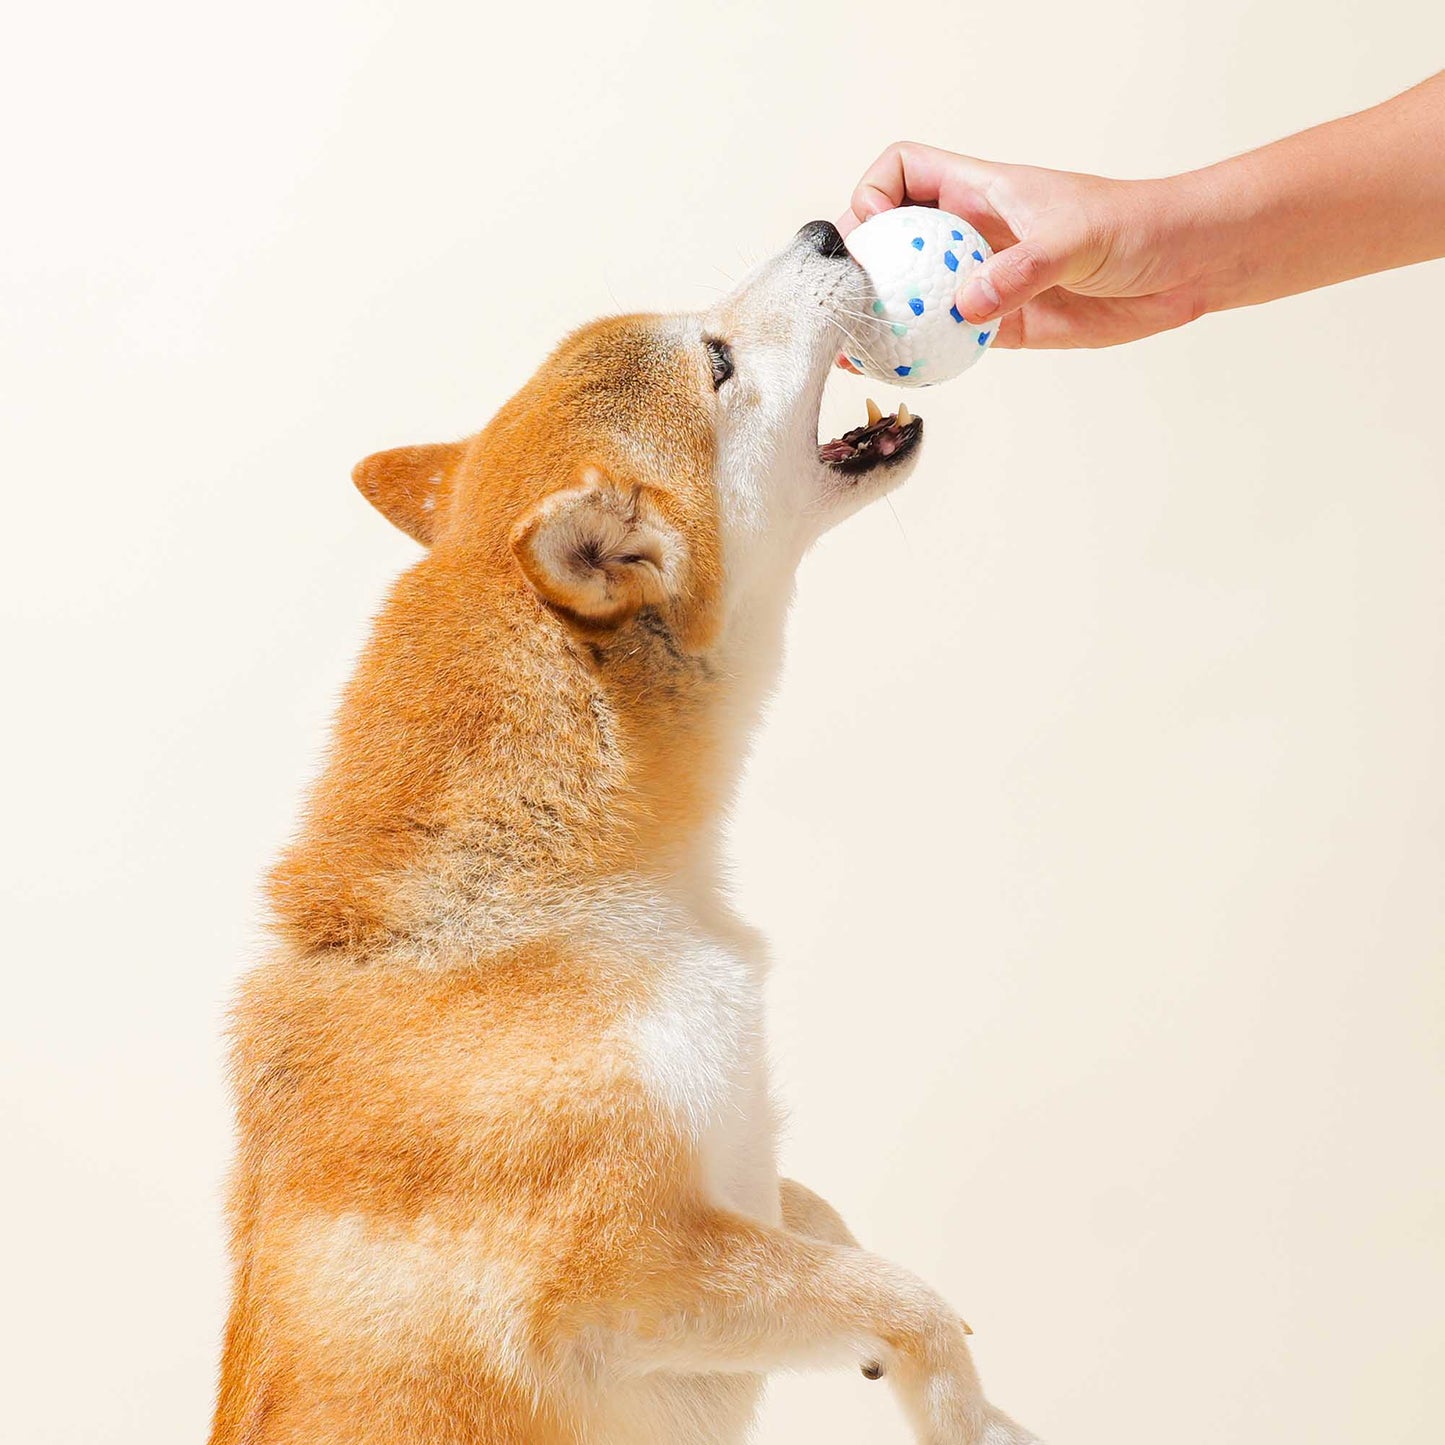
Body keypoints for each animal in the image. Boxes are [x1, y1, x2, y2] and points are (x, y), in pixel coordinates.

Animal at [209, 216, 1034, 1445]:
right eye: (718, 360)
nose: (822, 227)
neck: (539, 893)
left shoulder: (738, 1170)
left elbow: (824, 1224)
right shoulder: (622, 1265)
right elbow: (900, 1296)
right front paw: (963, 1410)